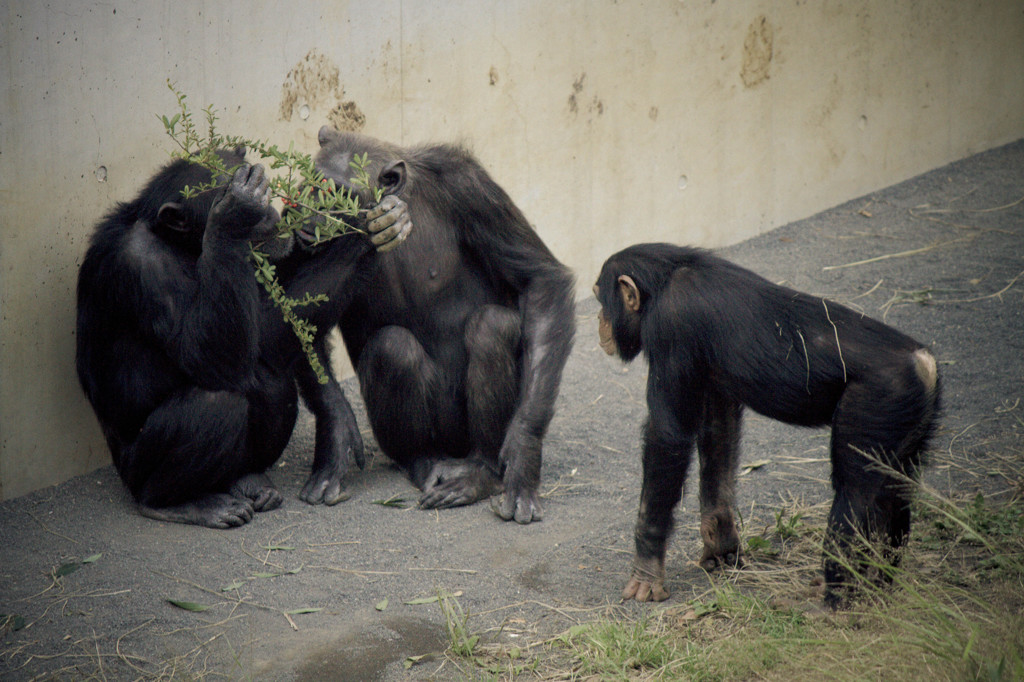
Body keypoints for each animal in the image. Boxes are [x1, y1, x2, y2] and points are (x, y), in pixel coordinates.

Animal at [74, 148, 407, 528]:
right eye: (227, 193)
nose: (267, 211)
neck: (183, 244)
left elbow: (270, 329)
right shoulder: (140, 261)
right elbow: (209, 358)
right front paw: (235, 212)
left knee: (270, 381)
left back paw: (246, 481)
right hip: (132, 471)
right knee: (217, 403)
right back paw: (176, 504)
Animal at [311, 125, 577, 520]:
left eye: (343, 195)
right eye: (313, 185)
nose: (315, 215)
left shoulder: (472, 188)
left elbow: (541, 279)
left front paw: (524, 454)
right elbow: (299, 316)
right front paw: (335, 438)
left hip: (464, 437)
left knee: (491, 327)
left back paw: (481, 473)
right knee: (392, 347)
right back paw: (424, 460)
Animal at [598, 242, 937, 606]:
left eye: (600, 300)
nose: (599, 322)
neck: (665, 280)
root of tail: (924, 363)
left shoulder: (670, 326)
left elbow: (668, 436)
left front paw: (646, 572)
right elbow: (718, 430)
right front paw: (721, 544)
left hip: (878, 400)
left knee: (855, 493)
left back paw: (835, 600)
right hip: (909, 419)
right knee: (895, 491)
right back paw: (880, 586)